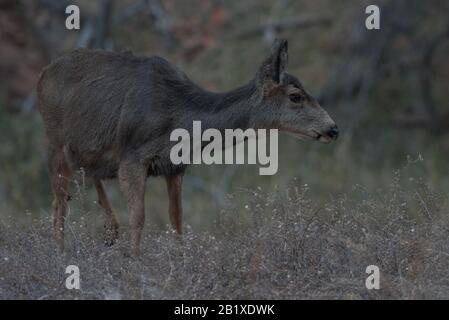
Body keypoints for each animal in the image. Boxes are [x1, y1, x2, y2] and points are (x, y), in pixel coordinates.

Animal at [37, 40, 336, 255]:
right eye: (296, 96)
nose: (333, 128)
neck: (179, 118)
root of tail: (43, 74)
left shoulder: (176, 165)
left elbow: (177, 219)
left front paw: (180, 259)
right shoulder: (133, 158)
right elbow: (139, 217)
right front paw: (135, 263)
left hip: (89, 151)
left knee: (87, 175)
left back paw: (110, 231)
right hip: (54, 141)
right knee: (58, 203)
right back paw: (60, 253)